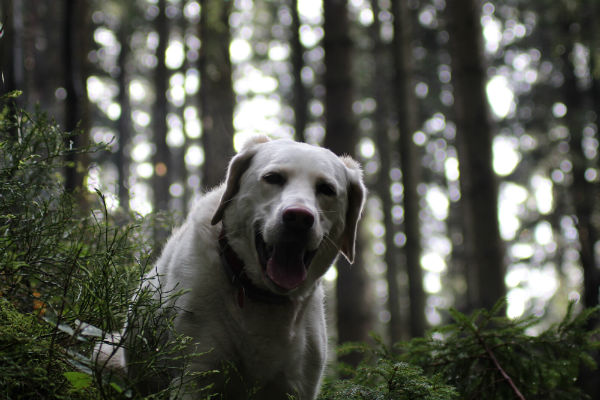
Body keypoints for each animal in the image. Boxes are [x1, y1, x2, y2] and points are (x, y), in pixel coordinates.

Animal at [96, 136, 366, 398]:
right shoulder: (194, 377)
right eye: (273, 178)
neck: (262, 298)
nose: (299, 217)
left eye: (327, 189)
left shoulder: (297, 387)